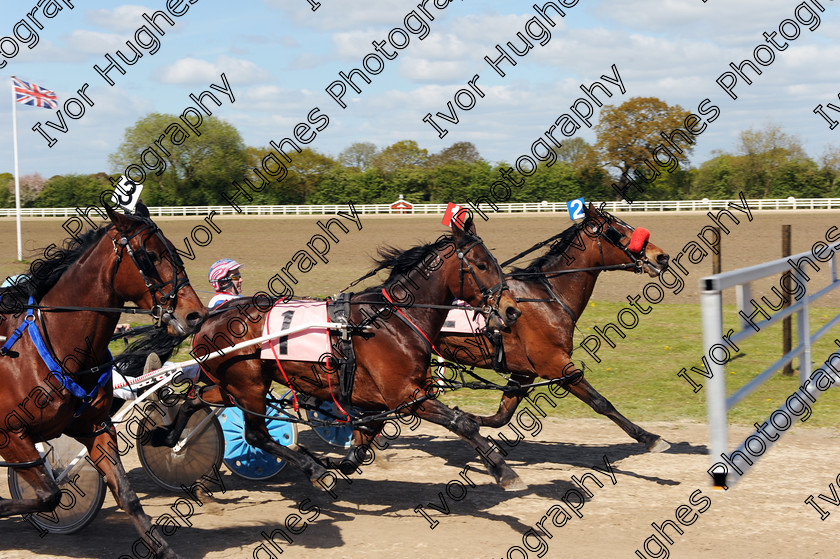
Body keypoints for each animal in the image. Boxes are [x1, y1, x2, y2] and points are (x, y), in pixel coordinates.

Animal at [0, 206, 208, 559]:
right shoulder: (12, 434)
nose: (195, 314)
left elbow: (127, 495)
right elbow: (49, 495)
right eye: (150, 256)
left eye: (174, 253)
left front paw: (164, 550)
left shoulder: (95, 427)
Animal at [151, 220, 528, 490]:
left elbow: (362, 443)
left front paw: (339, 461)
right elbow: (463, 423)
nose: (511, 310)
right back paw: (311, 468)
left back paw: (169, 438)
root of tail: (209, 317)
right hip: (249, 384)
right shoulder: (406, 395)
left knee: (196, 397)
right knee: (255, 434)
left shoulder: (380, 401)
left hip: (231, 384)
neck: (393, 320)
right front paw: (503, 470)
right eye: (481, 264)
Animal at [436, 203, 672, 452]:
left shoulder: (524, 371)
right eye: (617, 231)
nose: (661, 256)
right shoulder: (554, 363)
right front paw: (649, 437)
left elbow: (502, 414)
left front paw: (468, 417)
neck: (548, 296)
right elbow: (600, 402)